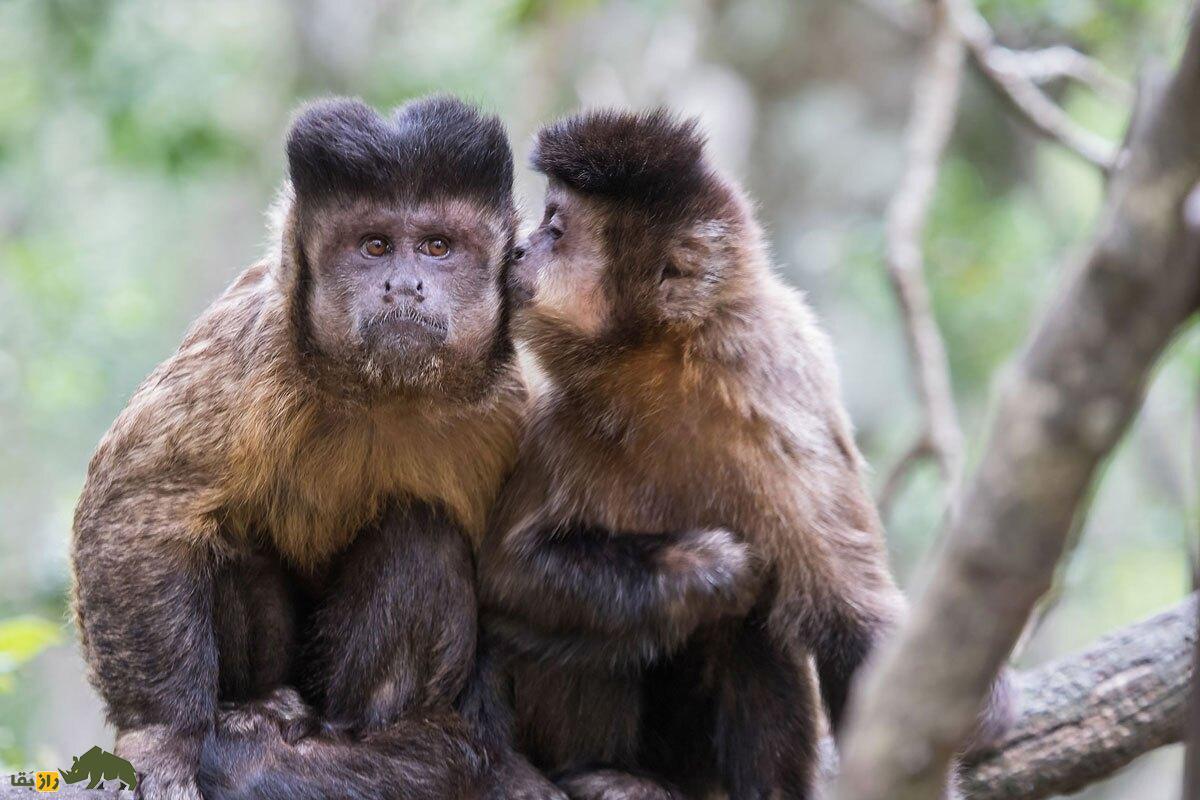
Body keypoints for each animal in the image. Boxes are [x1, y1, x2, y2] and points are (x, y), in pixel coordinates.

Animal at [70, 95, 561, 800]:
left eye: (437, 247)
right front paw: (159, 740)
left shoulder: (512, 408)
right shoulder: (249, 348)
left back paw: (361, 737)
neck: (384, 391)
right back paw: (258, 710)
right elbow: (134, 512)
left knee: (422, 534)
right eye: (375, 246)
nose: (404, 284)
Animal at [477, 107, 1012, 800]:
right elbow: (506, 574)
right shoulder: (564, 415)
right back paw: (606, 772)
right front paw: (709, 568)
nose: (518, 249)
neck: (668, 367)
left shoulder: (781, 396)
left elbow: (851, 620)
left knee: (754, 630)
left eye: (556, 229)